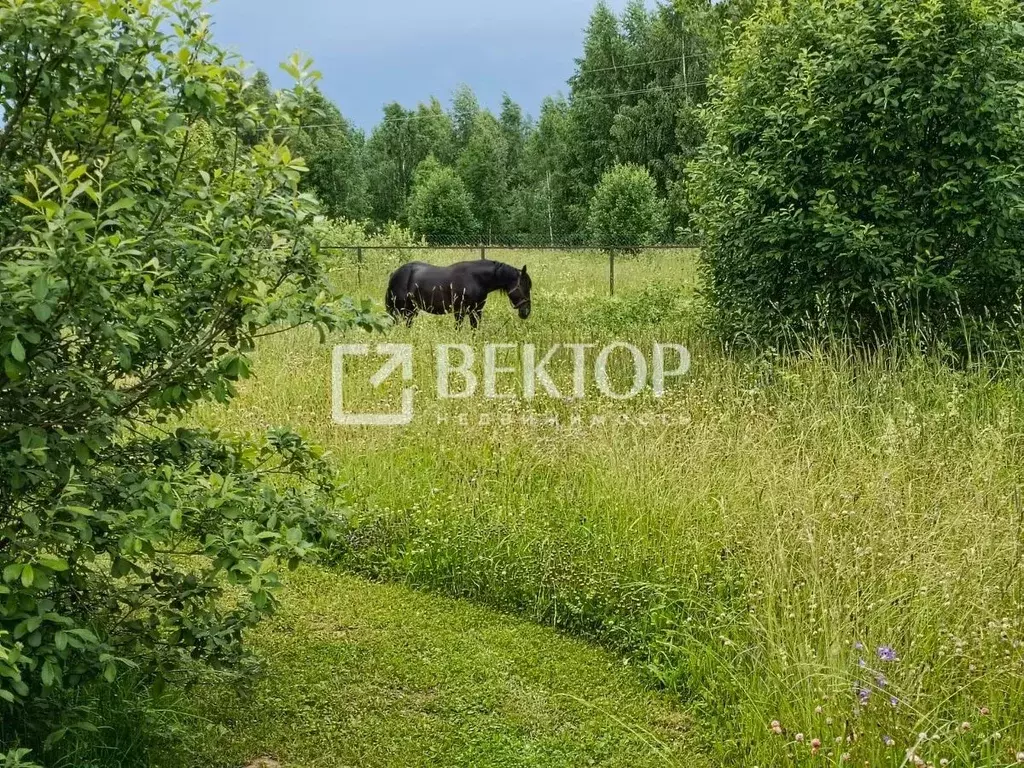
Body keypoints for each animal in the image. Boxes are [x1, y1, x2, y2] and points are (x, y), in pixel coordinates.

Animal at [385, 260, 536, 329]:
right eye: (523, 287)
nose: (526, 312)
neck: (476, 279)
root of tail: (394, 274)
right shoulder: (460, 312)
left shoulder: (476, 312)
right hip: (399, 311)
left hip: (410, 311)